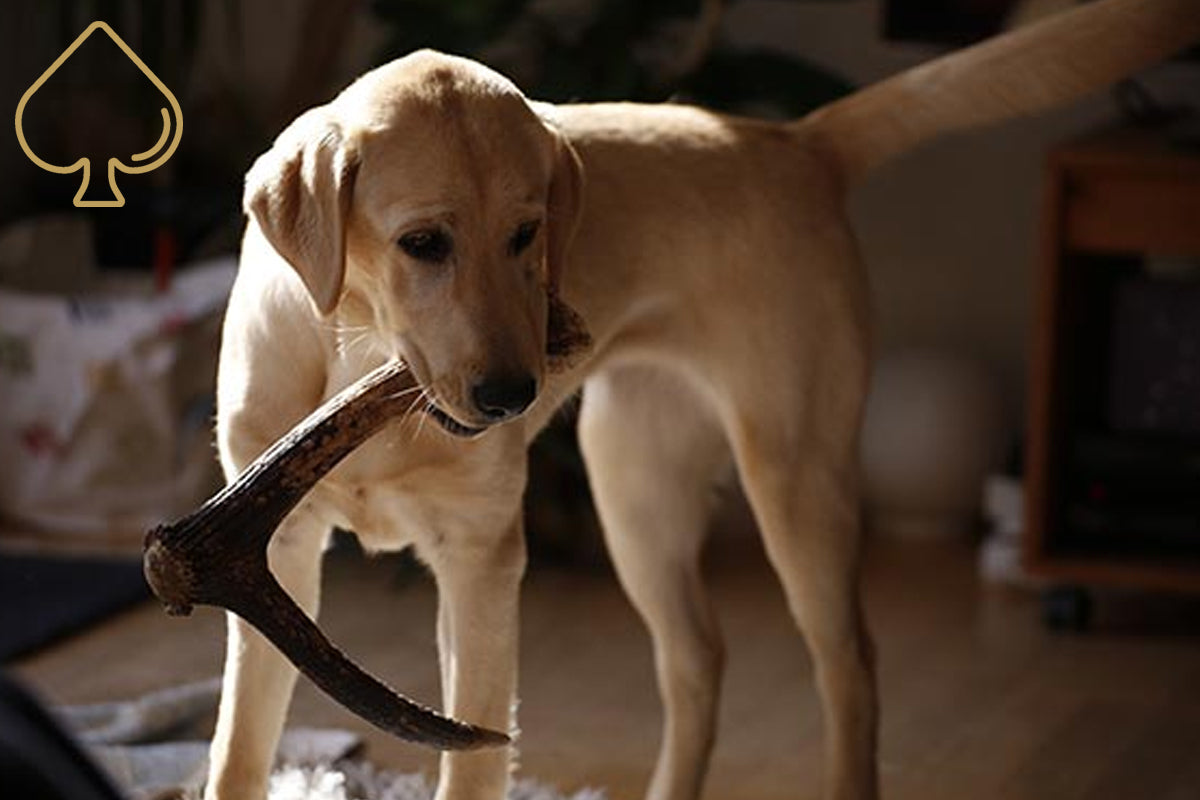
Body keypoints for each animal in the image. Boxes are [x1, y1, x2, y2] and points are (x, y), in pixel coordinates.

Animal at [206, 1, 1200, 800]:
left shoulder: (480, 560)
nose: (512, 396)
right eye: (422, 243)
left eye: (528, 234)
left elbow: (475, 762)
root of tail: (795, 142)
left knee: (850, 669)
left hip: (796, 478)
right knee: (696, 660)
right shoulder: (275, 563)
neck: (360, 365)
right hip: (635, 492)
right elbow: (240, 751)